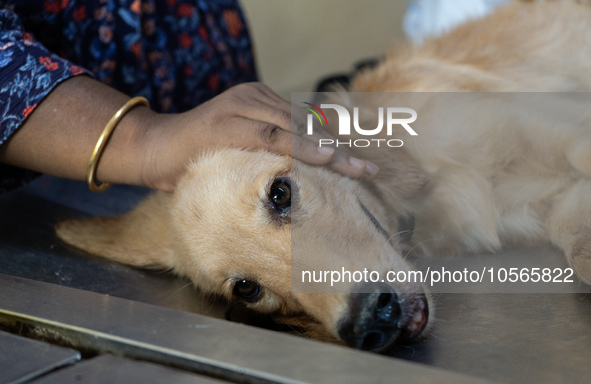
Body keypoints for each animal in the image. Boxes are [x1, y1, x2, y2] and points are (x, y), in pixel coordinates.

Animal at [54, 0, 591, 352]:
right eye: (247, 290)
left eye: (280, 193)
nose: (371, 325)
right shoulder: (552, 203)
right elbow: (577, 242)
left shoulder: (566, 134)